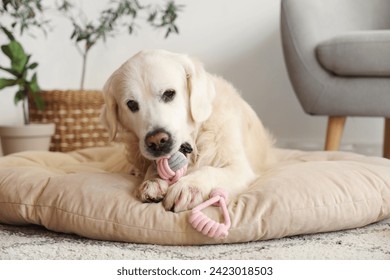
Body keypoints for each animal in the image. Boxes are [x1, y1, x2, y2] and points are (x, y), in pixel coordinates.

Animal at [102, 49, 276, 212]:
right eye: (131, 104)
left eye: (169, 93)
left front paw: (188, 186)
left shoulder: (240, 168)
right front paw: (152, 181)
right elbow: (153, 167)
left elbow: (210, 170)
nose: (157, 142)